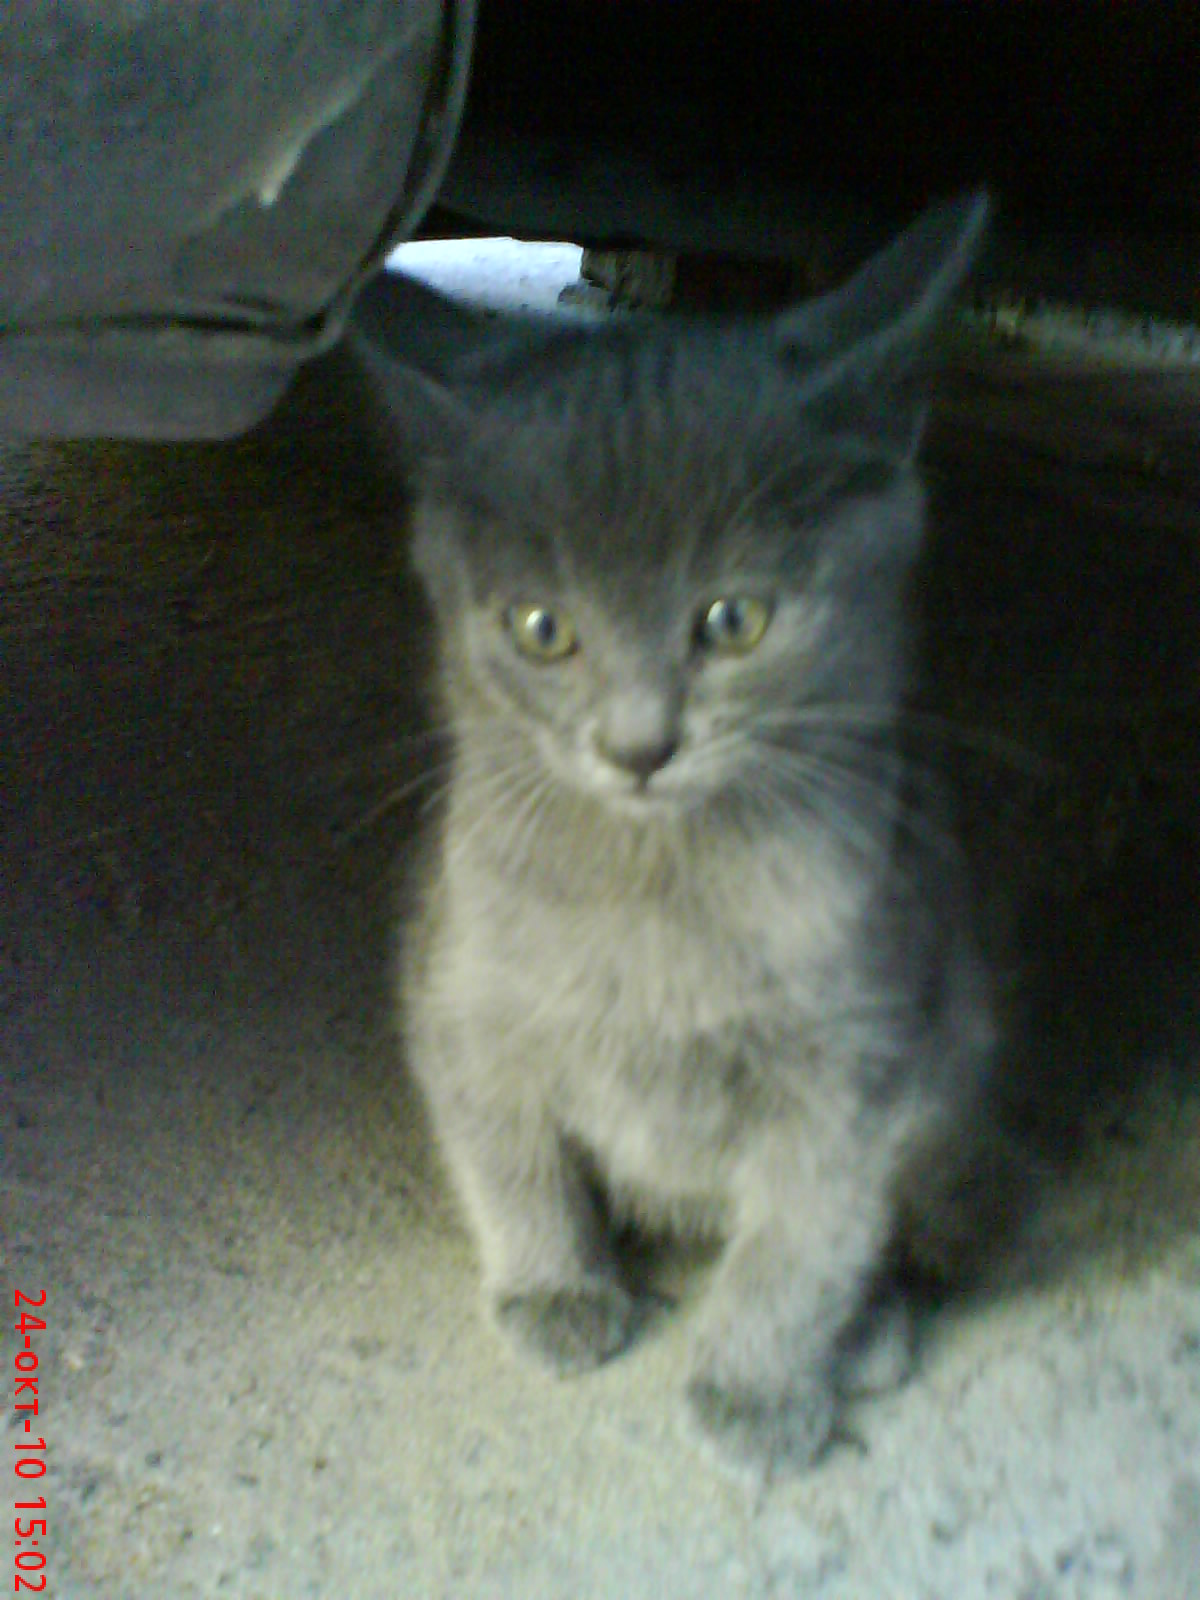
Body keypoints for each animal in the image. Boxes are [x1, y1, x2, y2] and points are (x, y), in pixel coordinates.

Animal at [354, 195, 999, 1479]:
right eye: (541, 628)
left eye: (733, 618)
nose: (639, 745)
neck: (656, 888)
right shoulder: (457, 990)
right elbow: (508, 1151)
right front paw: (554, 1290)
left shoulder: (865, 1054)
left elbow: (808, 1231)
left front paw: (755, 1387)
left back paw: (868, 1335)